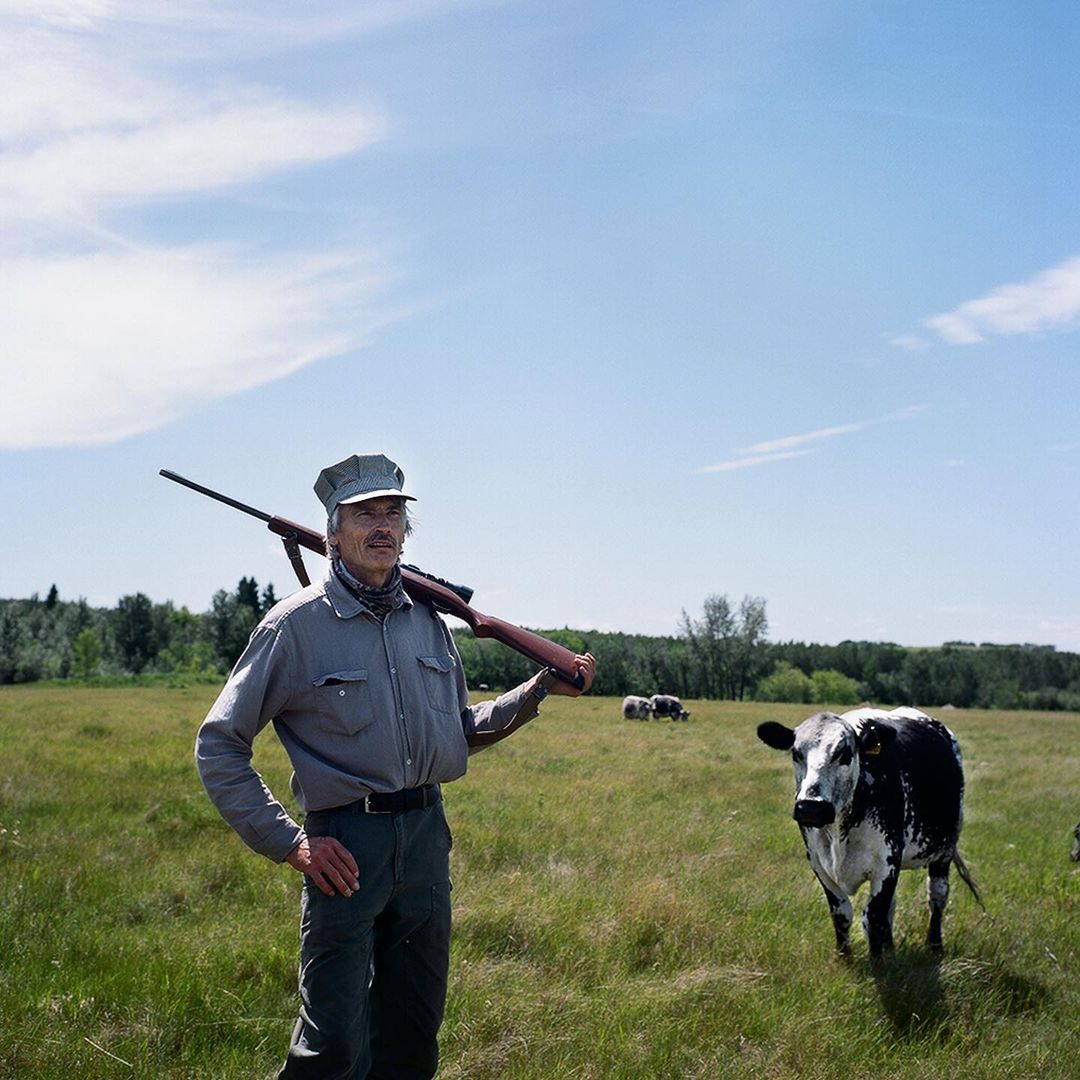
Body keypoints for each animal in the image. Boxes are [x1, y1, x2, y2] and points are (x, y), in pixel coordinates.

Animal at [756, 708, 984, 963]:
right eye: (796, 753)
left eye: (844, 754)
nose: (811, 807)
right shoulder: (818, 863)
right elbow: (842, 913)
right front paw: (844, 958)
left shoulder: (886, 863)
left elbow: (873, 917)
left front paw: (877, 963)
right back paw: (891, 949)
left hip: (944, 850)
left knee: (937, 895)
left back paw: (934, 945)